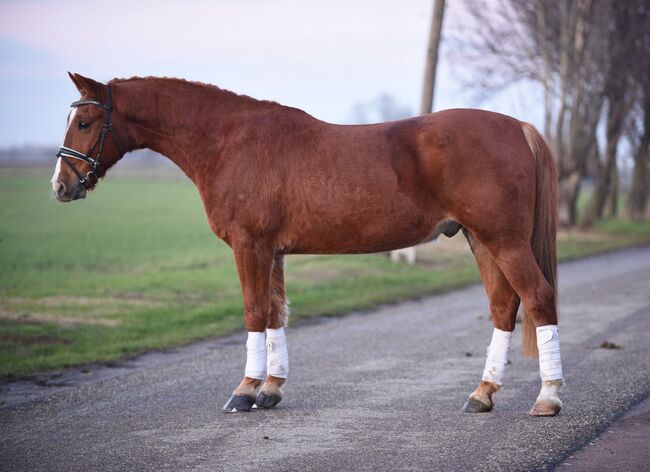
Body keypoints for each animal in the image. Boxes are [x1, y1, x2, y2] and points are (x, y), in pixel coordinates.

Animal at [52, 74, 560, 416]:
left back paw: (548, 398)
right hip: (481, 240)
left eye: (85, 121)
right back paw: (482, 395)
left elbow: (254, 312)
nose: (60, 185)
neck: (229, 142)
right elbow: (276, 314)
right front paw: (270, 390)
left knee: (538, 298)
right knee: (503, 307)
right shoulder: (272, 251)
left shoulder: (249, 246)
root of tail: (517, 126)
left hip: (504, 241)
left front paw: (244, 391)